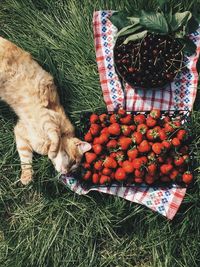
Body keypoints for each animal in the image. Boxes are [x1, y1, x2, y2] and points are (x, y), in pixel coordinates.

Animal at [0, 36, 91, 185]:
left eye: (72, 169)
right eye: (72, 162)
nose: (65, 172)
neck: (44, 145)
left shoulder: (20, 134)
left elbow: (25, 158)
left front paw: (26, 176)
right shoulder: (47, 118)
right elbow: (56, 137)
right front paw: (53, 151)